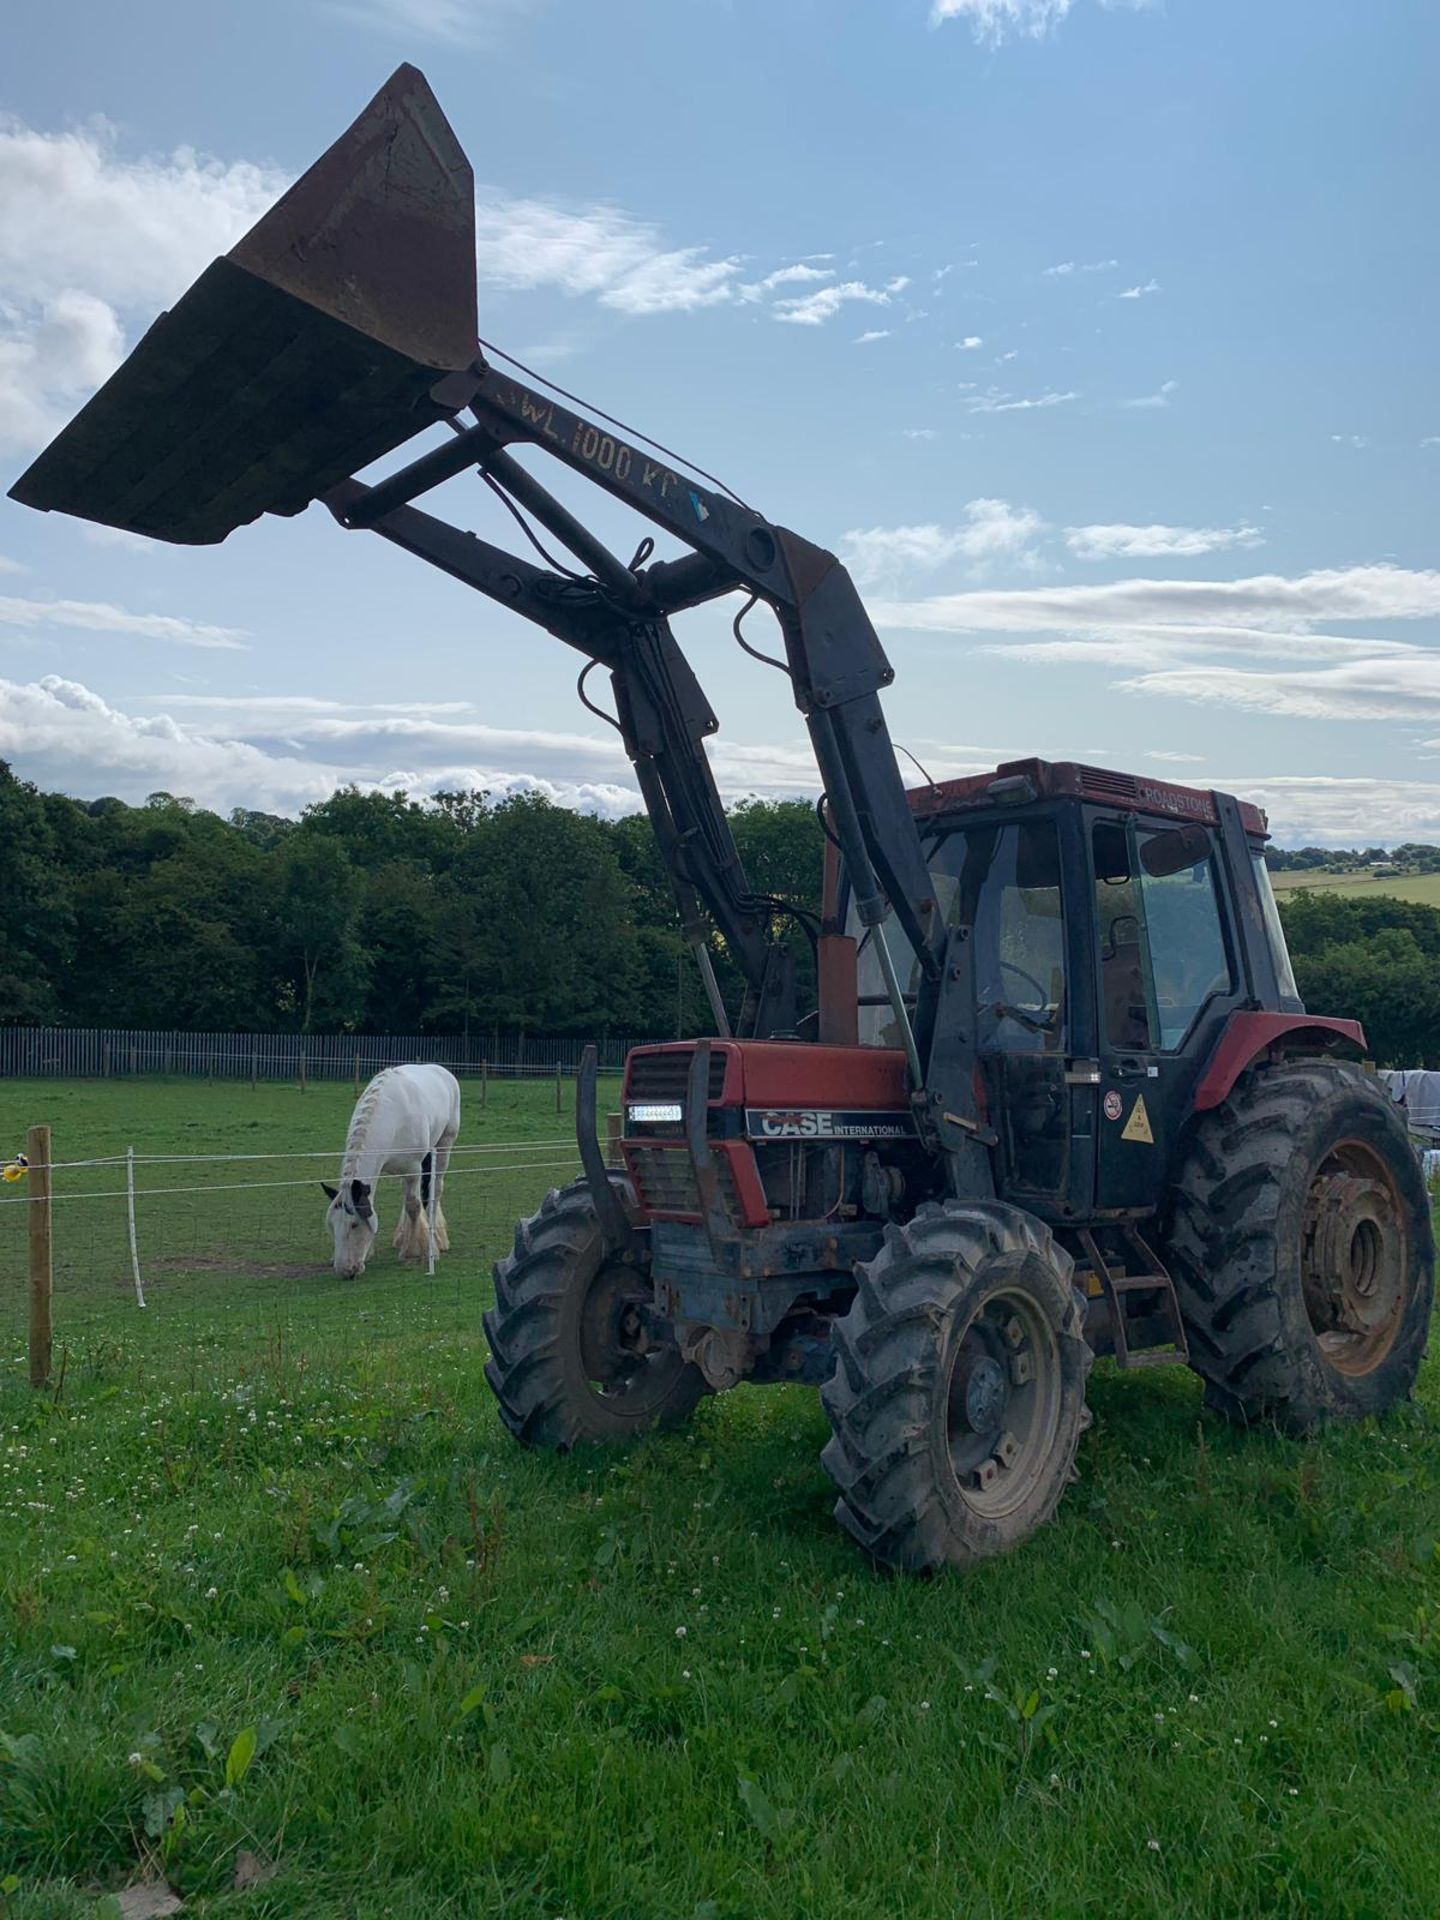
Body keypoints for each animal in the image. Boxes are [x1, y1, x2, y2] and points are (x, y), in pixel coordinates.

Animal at [326, 1067, 462, 1274]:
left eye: (354, 1225)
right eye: (332, 1225)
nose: (343, 1270)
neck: (393, 1118)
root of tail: (442, 1070)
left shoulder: (413, 1169)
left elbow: (414, 1206)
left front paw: (415, 1251)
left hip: (444, 1145)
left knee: (435, 1191)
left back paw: (437, 1239)